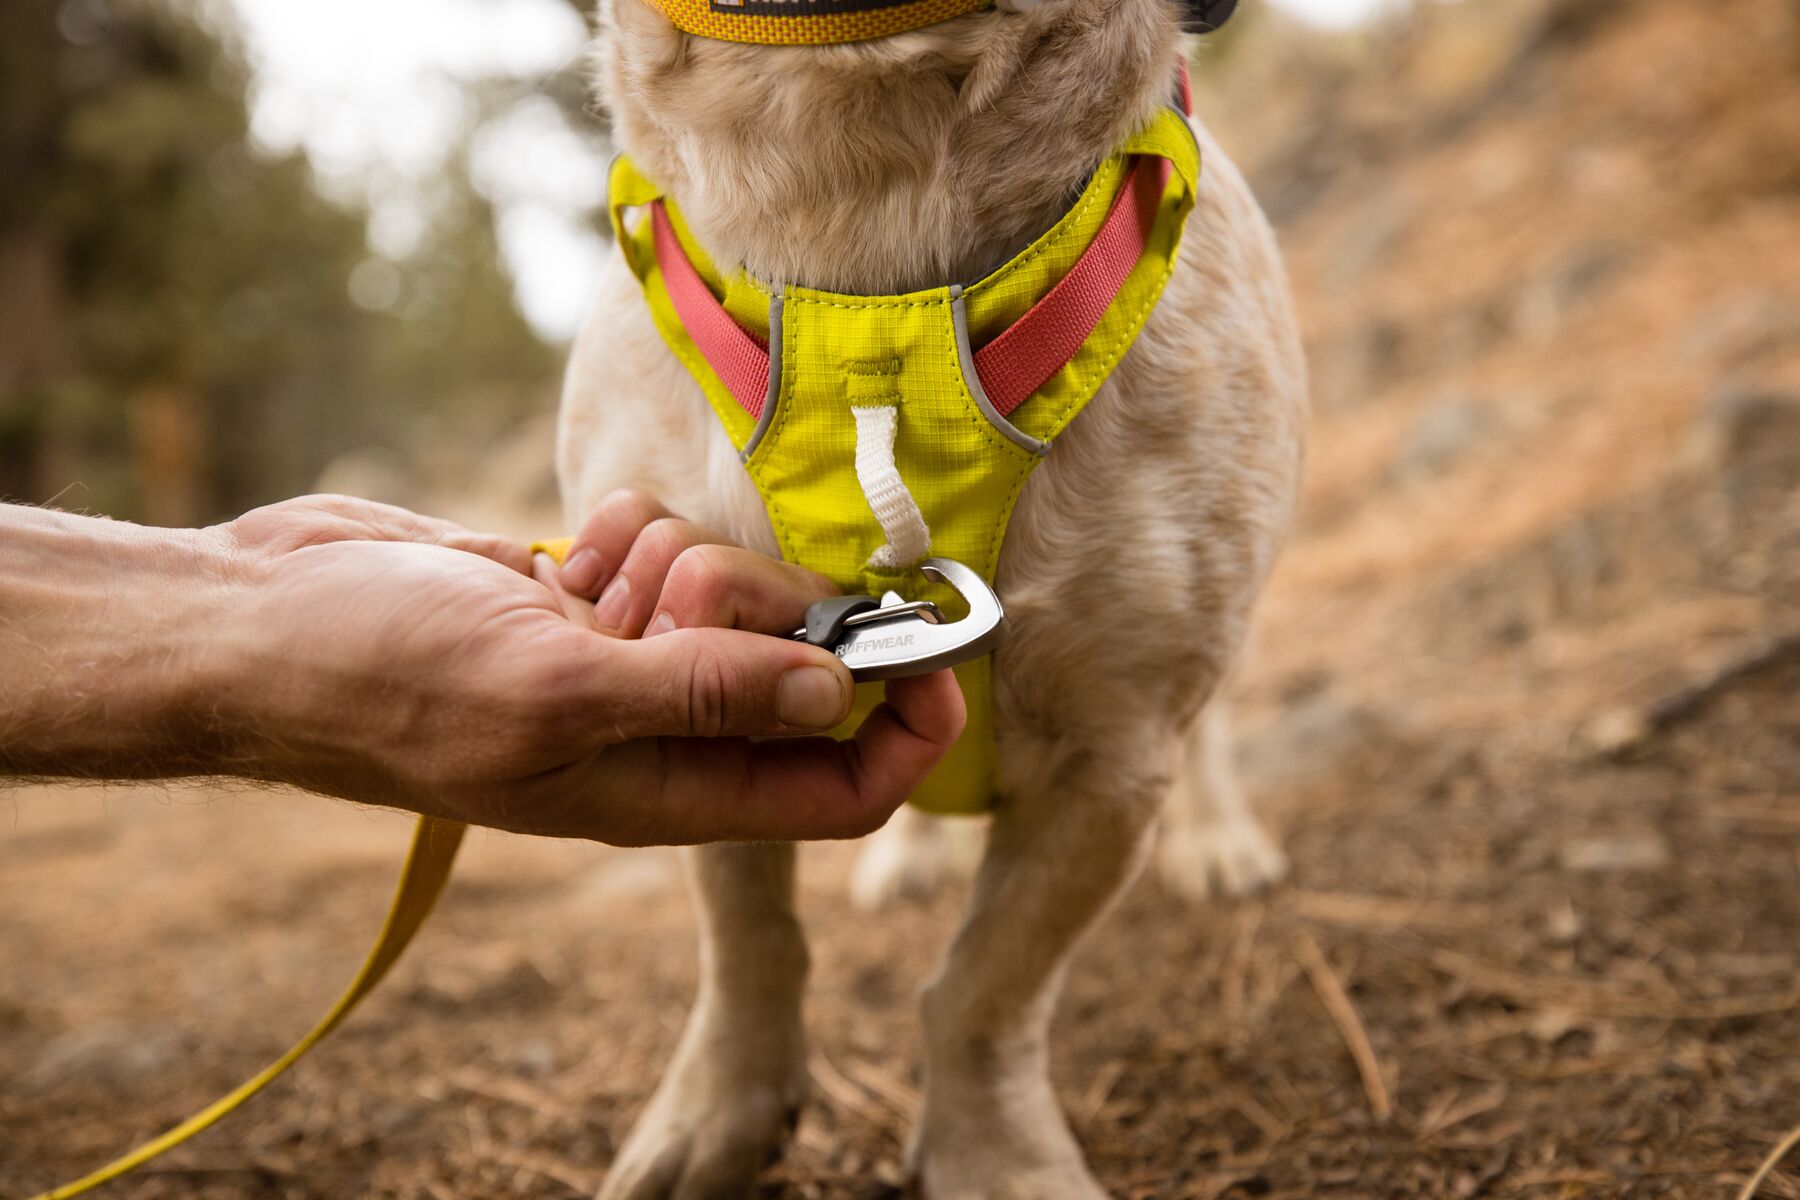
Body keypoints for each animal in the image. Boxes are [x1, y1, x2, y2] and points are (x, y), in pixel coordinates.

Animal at [554, 2, 1303, 1194]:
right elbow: (744, 931)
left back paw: (1218, 837)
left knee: (1215, 719)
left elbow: (988, 984)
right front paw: (718, 1114)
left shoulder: (1117, 754)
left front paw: (995, 1154)